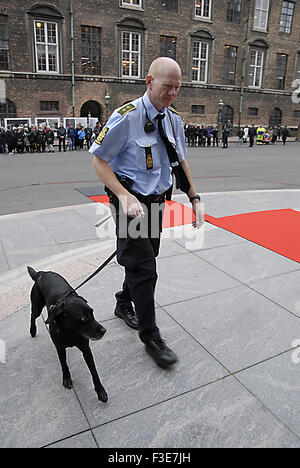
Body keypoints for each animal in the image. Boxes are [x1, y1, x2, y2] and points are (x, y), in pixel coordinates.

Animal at [27, 266, 108, 402]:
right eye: (83, 318)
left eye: (92, 313)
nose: (103, 331)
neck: (70, 332)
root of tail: (42, 273)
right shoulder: (59, 347)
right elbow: (63, 364)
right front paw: (66, 379)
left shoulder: (86, 349)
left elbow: (94, 371)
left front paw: (100, 391)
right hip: (37, 306)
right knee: (33, 315)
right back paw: (32, 330)